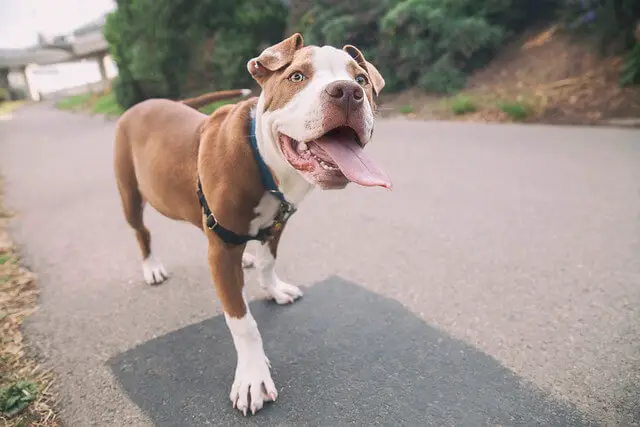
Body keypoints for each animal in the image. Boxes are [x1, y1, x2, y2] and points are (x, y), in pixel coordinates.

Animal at [114, 34, 392, 418]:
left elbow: (267, 261)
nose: (347, 92)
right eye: (297, 77)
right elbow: (243, 322)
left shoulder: (277, 223)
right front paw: (252, 378)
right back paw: (152, 266)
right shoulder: (219, 252)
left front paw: (272, 288)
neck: (262, 158)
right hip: (130, 196)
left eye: (362, 80)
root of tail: (143, 104)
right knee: (142, 232)